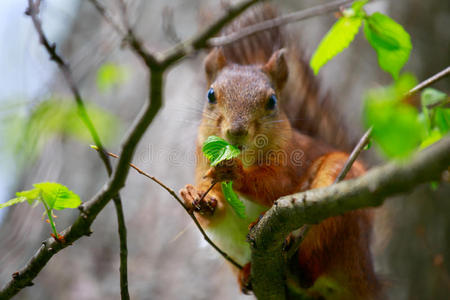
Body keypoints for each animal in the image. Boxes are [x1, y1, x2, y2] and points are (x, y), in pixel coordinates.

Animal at [179, 4, 380, 300]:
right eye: (211, 95)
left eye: (272, 101)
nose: (236, 132)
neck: (245, 155)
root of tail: (365, 275)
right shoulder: (204, 162)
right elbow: (218, 210)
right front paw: (196, 196)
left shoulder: (292, 160)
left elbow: (276, 185)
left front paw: (236, 173)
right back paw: (247, 273)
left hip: (336, 210)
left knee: (312, 267)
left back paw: (295, 262)